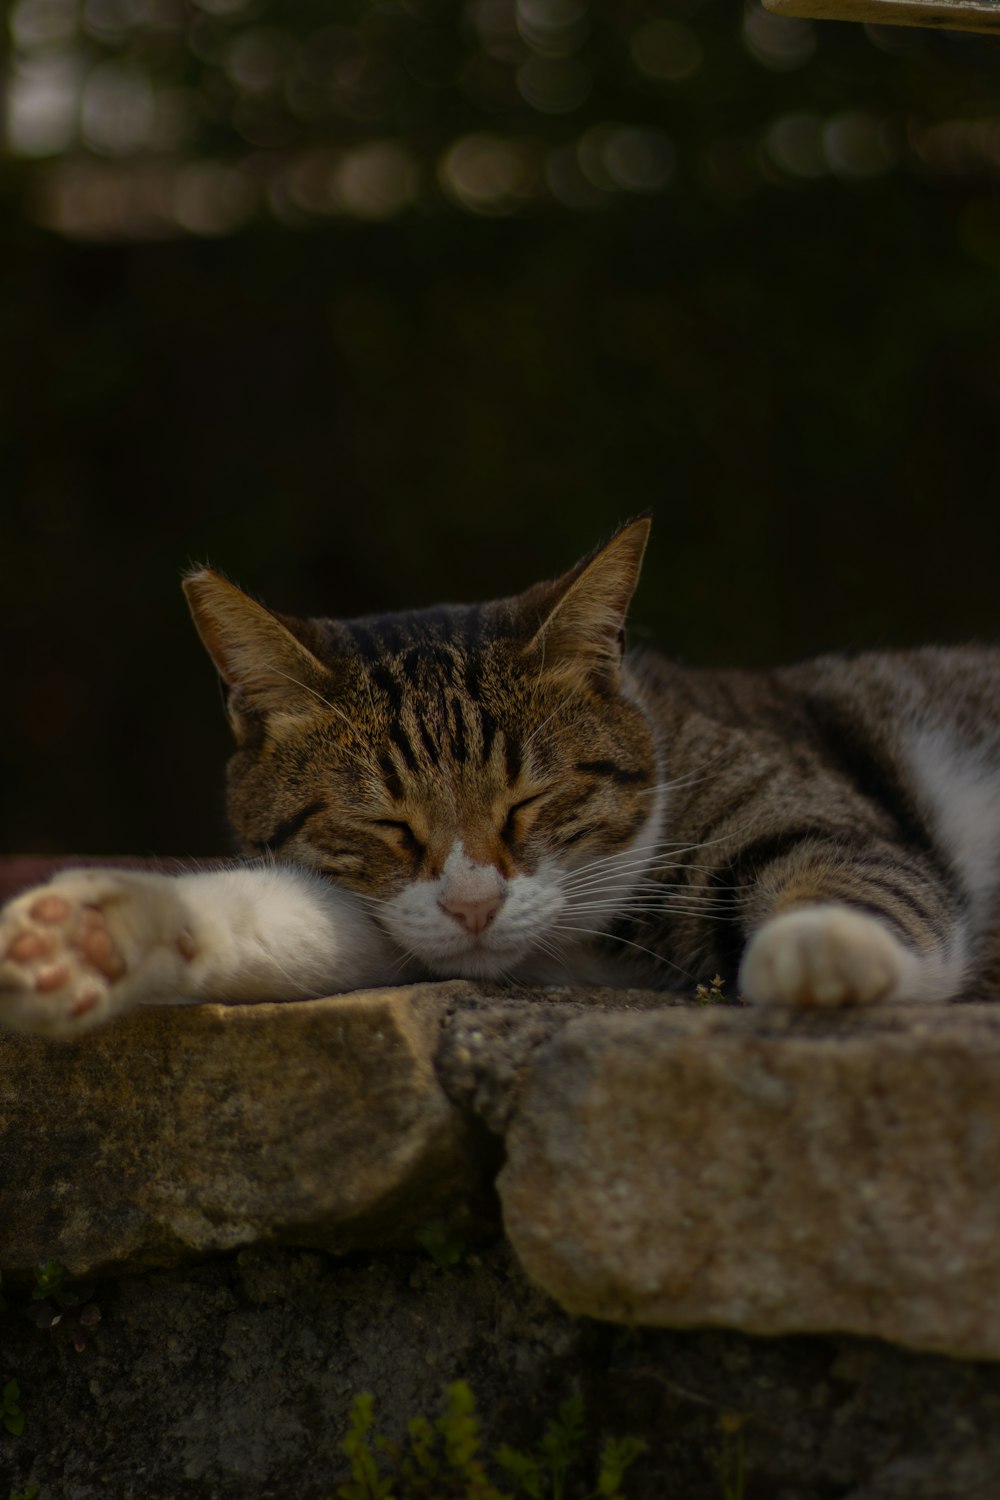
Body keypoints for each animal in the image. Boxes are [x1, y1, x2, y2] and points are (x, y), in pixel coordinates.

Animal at [1, 513, 1000, 1032]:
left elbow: (855, 868)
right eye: (384, 825)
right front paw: (91, 936)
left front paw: (819, 952)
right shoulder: (391, 923)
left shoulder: (814, 806)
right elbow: (279, 913)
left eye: (532, 799)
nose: (476, 905)